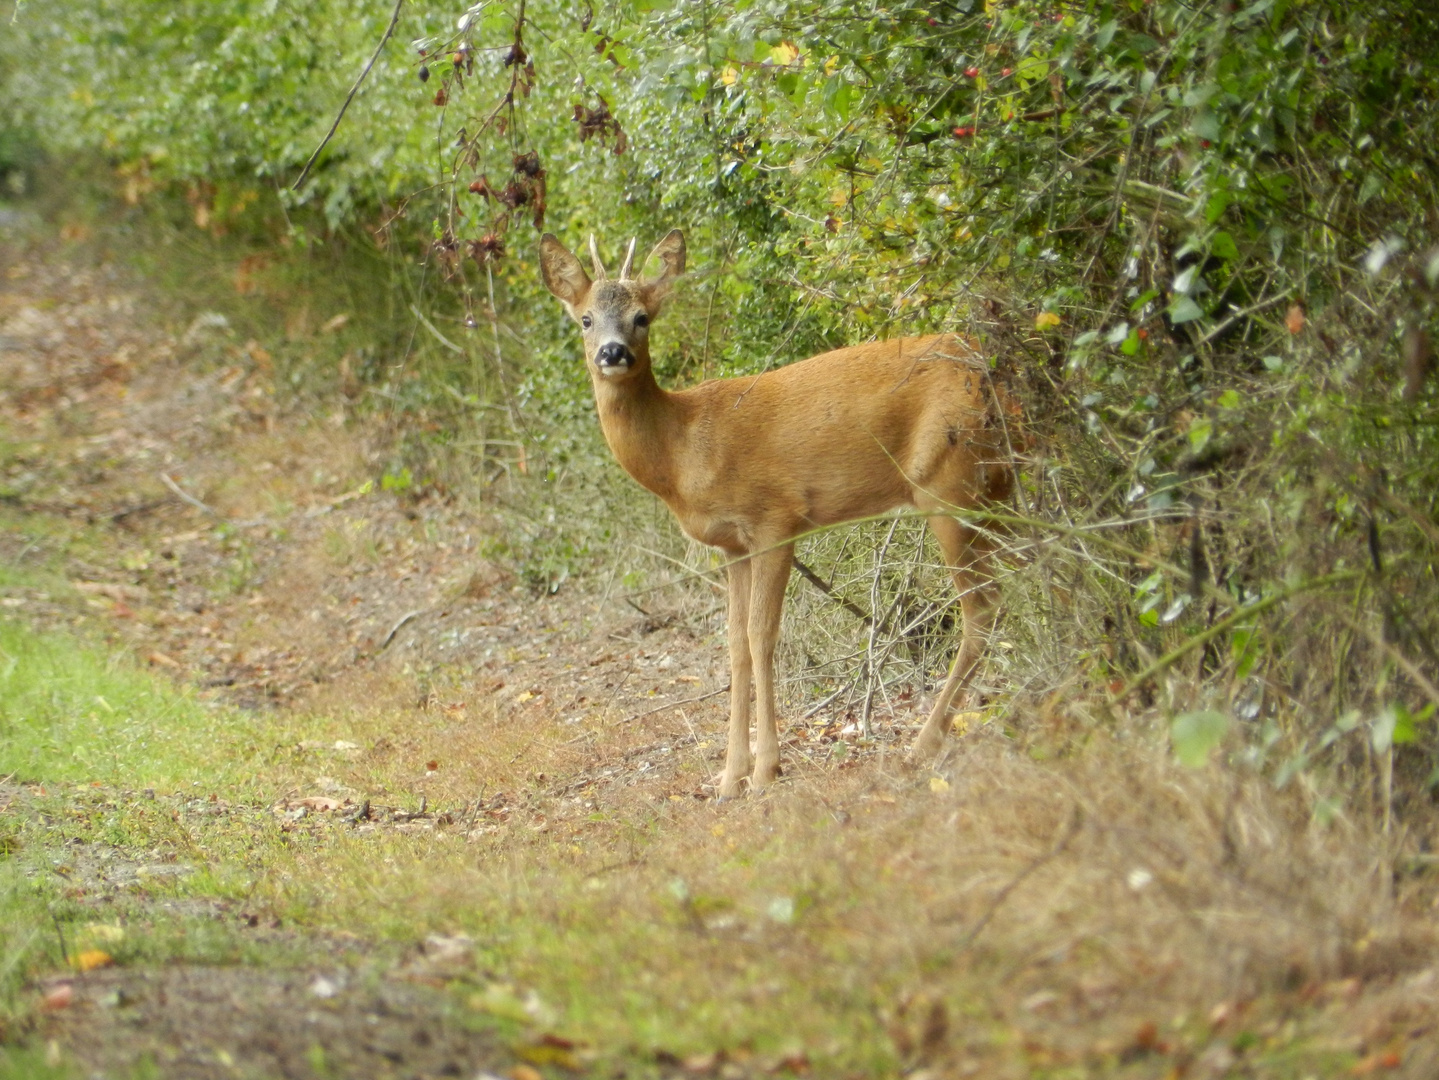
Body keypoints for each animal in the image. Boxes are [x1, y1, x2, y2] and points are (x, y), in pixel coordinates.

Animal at [538, 228, 1013, 799]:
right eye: (586, 318)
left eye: (642, 317)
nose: (613, 352)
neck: (683, 450)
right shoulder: (731, 546)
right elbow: (734, 645)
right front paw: (728, 776)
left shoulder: (774, 521)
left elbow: (761, 636)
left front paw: (765, 771)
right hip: (995, 491)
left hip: (947, 486)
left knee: (983, 608)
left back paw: (923, 745)